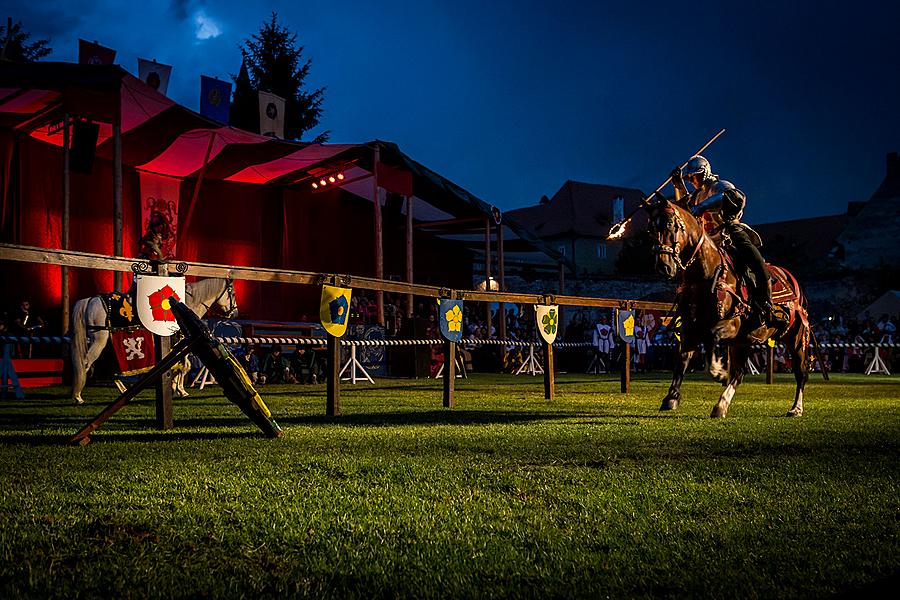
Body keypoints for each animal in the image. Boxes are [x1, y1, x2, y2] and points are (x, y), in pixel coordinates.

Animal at [71, 278, 237, 404]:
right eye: (233, 293)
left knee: (109, 369)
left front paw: (175, 387)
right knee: (86, 363)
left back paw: (124, 392)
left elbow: (180, 365)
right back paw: (78, 396)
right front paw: (180, 389)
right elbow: (185, 366)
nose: (234, 312)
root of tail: (90, 300)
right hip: (99, 340)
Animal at [644, 196, 812, 418]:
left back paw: (796, 408)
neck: (707, 274)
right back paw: (721, 406)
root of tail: (795, 284)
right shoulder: (691, 329)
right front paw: (671, 398)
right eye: (650, 229)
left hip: (796, 339)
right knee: (739, 373)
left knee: (801, 373)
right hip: (744, 342)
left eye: (670, 224)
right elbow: (682, 360)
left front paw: (718, 372)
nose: (663, 266)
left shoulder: (732, 325)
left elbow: (711, 339)